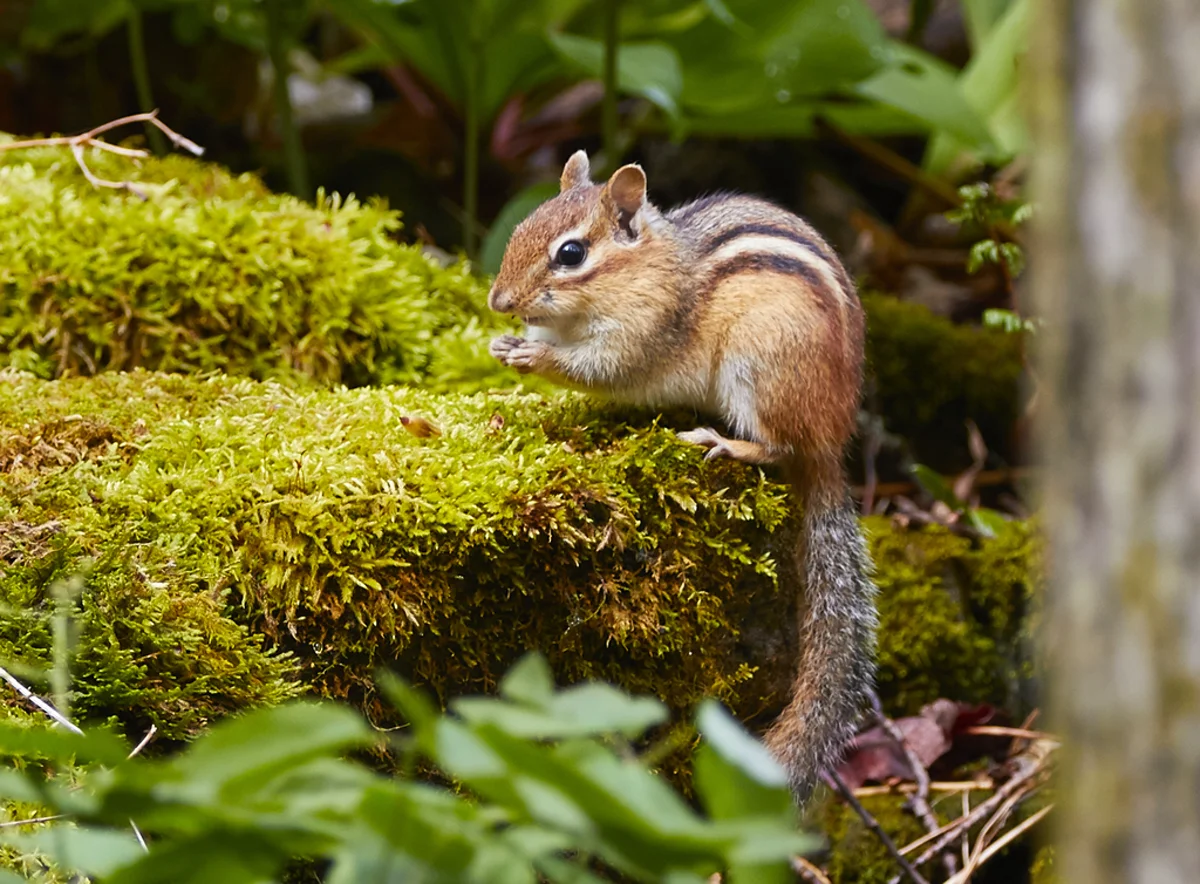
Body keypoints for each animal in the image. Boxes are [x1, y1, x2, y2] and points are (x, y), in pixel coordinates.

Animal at [486, 150, 878, 802]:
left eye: (571, 254)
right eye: (520, 229)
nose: (497, 301)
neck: (643, 268)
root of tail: (834, 441)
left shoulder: (640, 334)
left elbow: (602, 369)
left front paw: (532, 357)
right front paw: (506, 349)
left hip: (761, 365)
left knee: (778, 447)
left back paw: (724, 442)